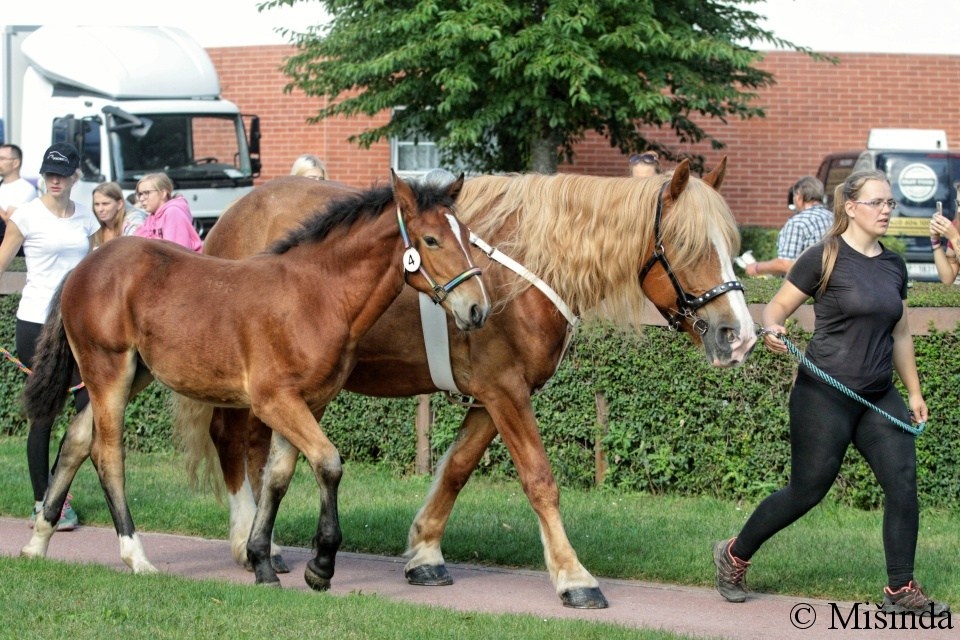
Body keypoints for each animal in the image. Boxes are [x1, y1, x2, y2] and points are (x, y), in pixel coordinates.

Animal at [19, 171, 492, 592]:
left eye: (468, 236)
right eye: (431, 240)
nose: (477, 309)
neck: (317, 295)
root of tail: (85, 265)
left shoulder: (308, 401)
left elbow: (278, 476)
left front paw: (262, 561)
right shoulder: (274, 401)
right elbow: (328, 462)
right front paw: (320, 566)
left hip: (134, 372)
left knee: (76, 440)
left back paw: (38, 541)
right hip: (109, 371)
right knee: (108, 454)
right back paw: (136, 556)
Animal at [176, 159, 752, 604]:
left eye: (732, 245)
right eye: (688, 246)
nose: (738, 333)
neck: (524, 270)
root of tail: (226, 219)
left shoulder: (494, 394)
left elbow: (455, 470)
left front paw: (425, 553)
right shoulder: (505, 389)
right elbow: (539, 480)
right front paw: (573, 576)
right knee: (232, 440)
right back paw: (248, 542)